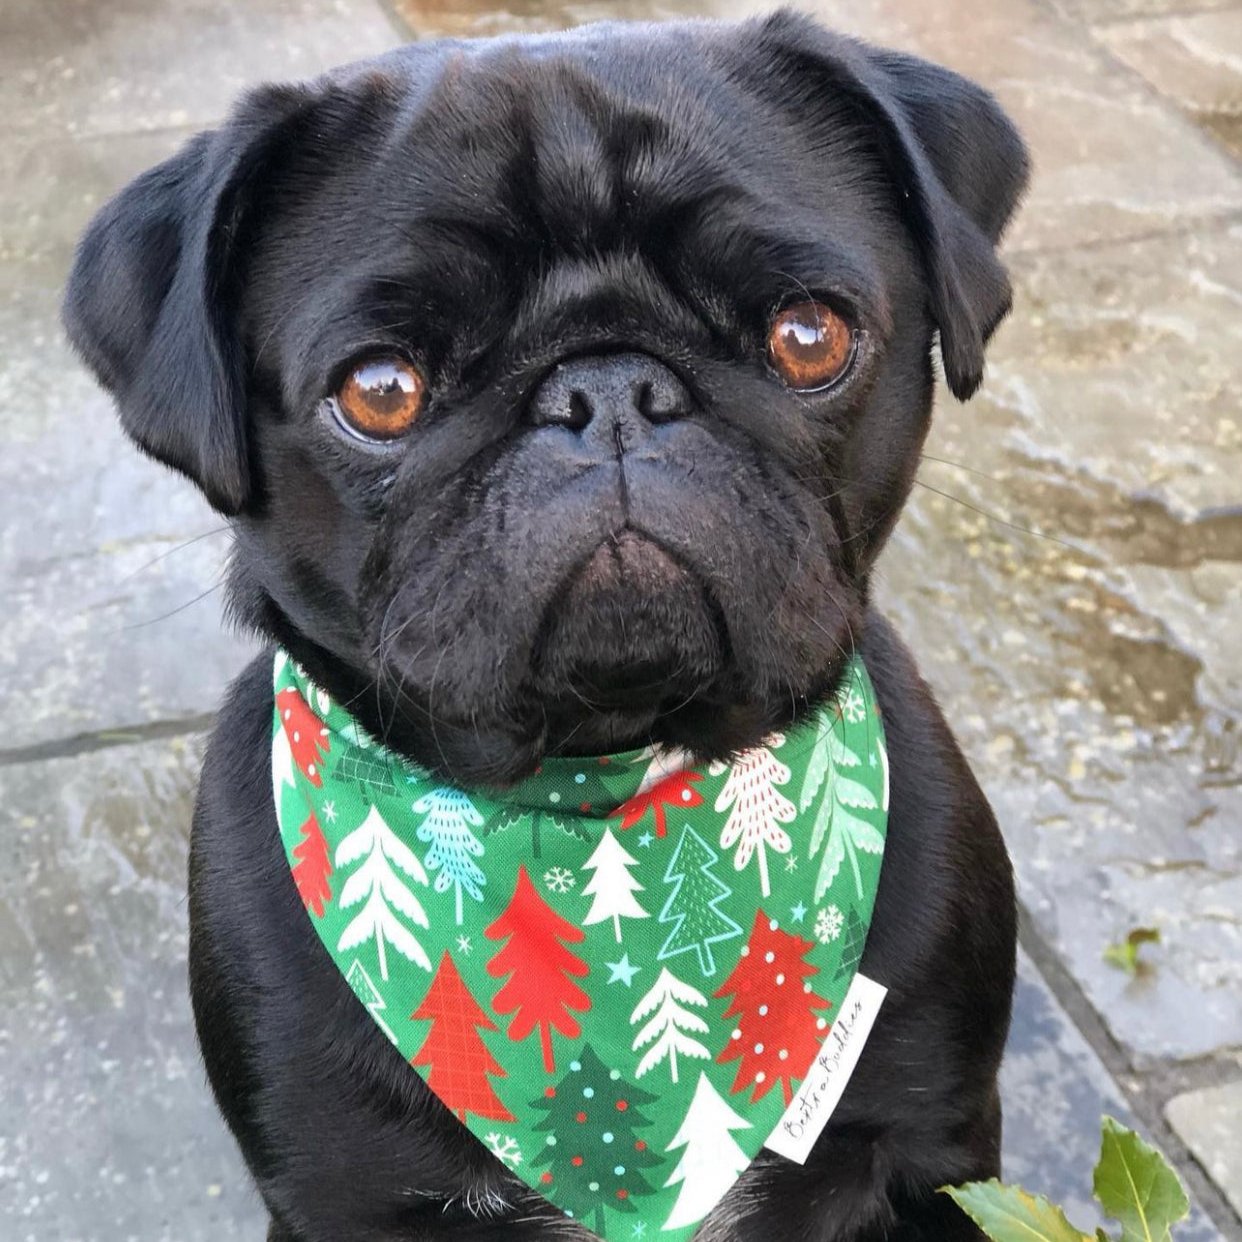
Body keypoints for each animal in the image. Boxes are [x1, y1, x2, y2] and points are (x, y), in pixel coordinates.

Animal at [60, 12, 1028, 1242]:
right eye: (381, 390)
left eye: (809, 335)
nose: (606, 392)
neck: (595, 788)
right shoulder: (340, 1197)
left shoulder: (933, 1149)